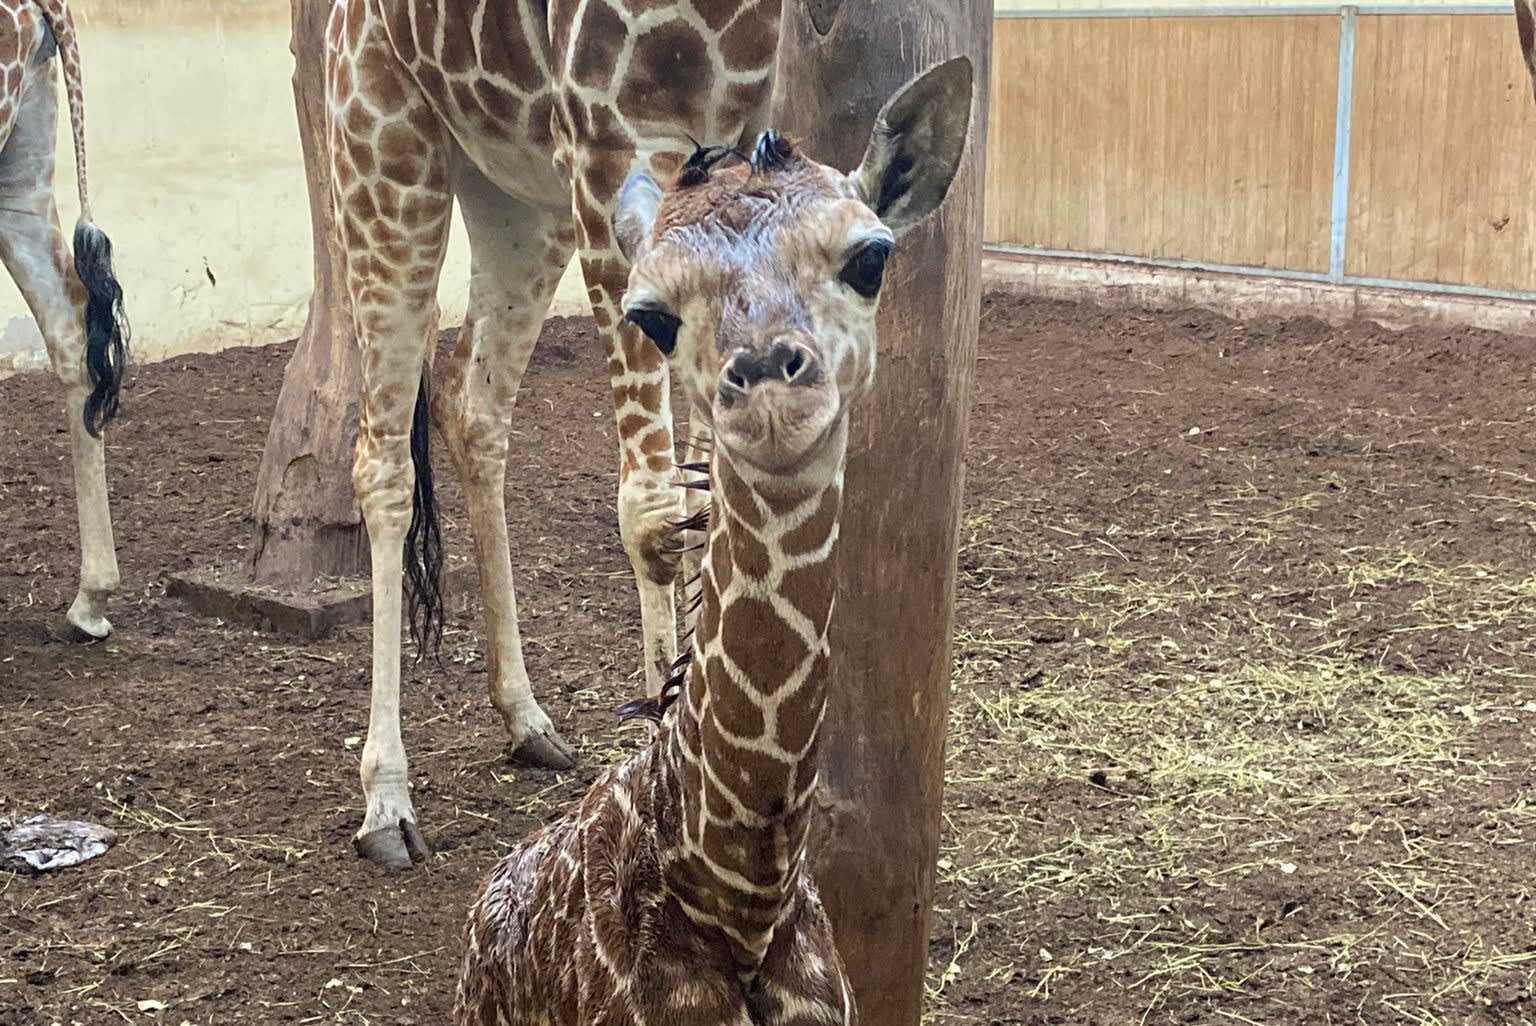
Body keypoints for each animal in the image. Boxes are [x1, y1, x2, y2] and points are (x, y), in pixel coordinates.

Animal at [324, 0, 780, 866]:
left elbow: (710, 502)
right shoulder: (612, 144)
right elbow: (651, 513)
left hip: (521, 198)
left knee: (474, 405)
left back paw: (526, 719)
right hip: (385, 155)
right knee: (382, 462)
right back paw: (386, 803)